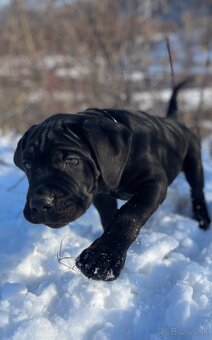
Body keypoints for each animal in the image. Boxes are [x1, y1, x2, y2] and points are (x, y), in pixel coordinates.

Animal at [14, 81, 211, 280]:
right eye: (27, 164)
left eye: (72, 160)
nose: (38, 204)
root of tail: (175, 121)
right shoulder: (100, 193)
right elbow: (110, 216)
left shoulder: (154, 182)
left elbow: (128, 214)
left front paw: (102, 257)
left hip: (193, 162)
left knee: (197, 191)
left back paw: (202, 220)